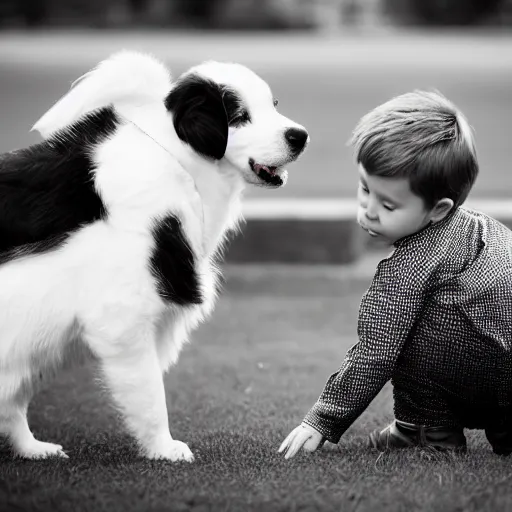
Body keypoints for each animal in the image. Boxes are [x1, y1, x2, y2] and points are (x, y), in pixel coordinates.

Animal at [0, 51, 308, 460]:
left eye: (273, 104)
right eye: (240, 115)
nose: (300, 136)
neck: (176, 158)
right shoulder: (120, 319)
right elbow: (150, 394)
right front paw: (164, 448)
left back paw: (34, 448)